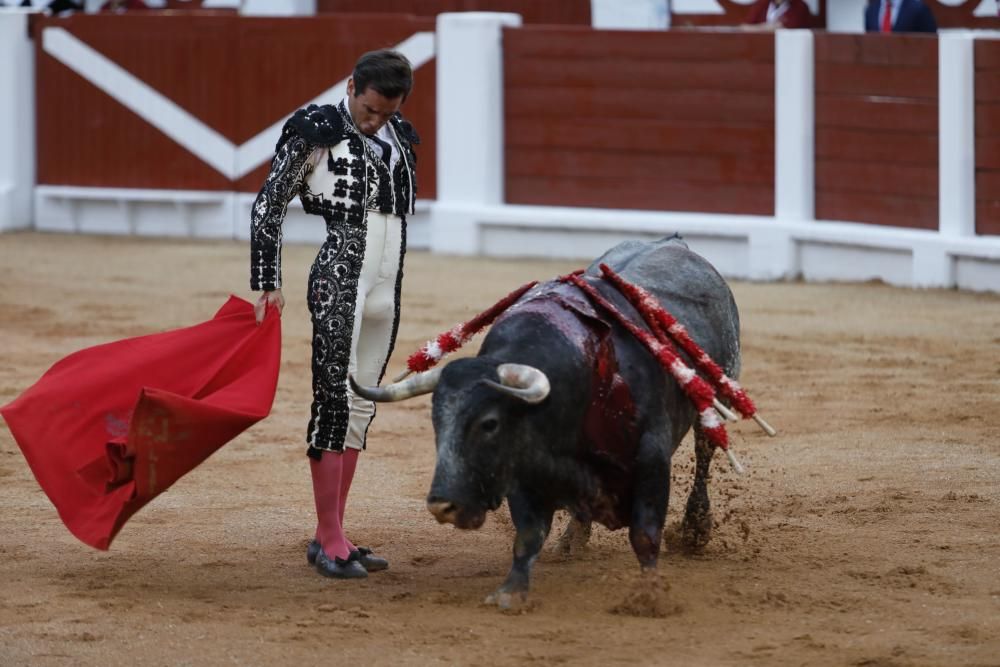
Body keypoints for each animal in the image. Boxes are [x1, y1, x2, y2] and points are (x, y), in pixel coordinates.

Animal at [352, 237, 744, 608]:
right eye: (436, 422)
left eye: (489, 423)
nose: (442, 505)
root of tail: (675, 243)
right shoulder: (523, 468)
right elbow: (528, 535)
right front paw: (512, 592)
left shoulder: (652, 458)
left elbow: (645, 534)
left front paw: (651, 595)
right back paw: (572, 540)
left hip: (718, 394)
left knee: (705, 454)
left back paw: (695, 529)